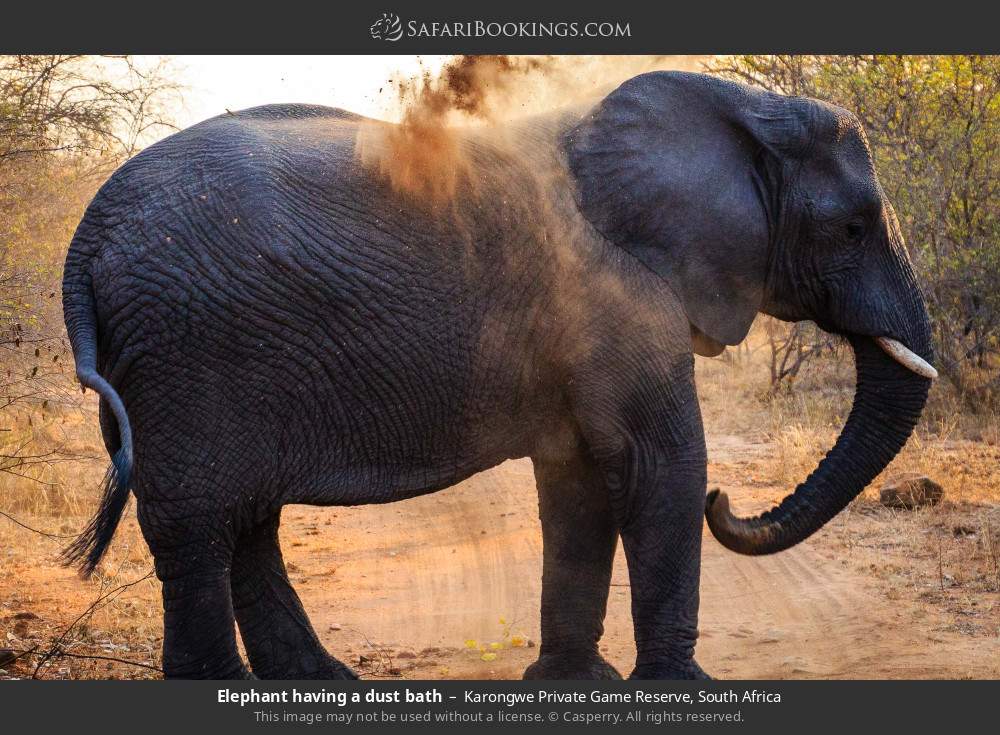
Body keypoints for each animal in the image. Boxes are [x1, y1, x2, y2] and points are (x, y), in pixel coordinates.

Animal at [61, 70, 936, 680]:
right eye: (853, 228)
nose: (731, 504)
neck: (740, 104)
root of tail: (87, 235)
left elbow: (580, 477)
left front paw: (574, 680)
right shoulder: (615, 291)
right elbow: (658, 463)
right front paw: (680, 684)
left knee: (243, 518)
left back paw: (316, 679)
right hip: (186, 349)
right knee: (200, 523)